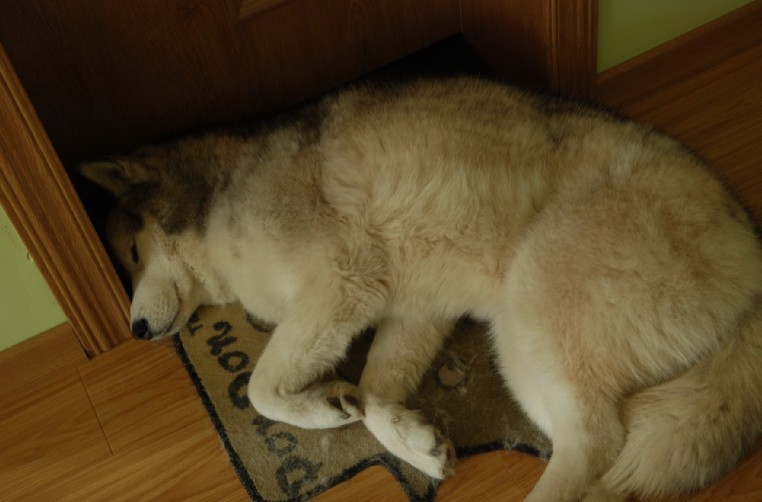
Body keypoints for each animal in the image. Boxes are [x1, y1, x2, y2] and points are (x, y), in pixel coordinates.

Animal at [81, 77, 762, 501]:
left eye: (133, 256)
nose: (135, 331)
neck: (224, 193)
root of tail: (750, 249)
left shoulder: (341, 284)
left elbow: (261, 389)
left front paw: (317, 408)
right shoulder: (410, 311)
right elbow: (374, 393)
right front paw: (406, 437)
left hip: (540, 305)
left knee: (597, 443)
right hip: (525, 352)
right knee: (595, 448)